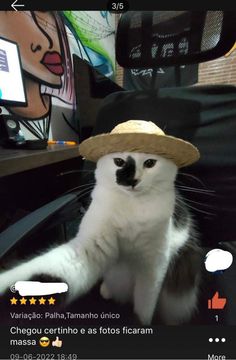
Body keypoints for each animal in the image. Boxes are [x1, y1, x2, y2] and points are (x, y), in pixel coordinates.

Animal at [0, 150, 201, 324]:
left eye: (150, 163)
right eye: (119, 161)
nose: (131, 180)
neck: (131, 206)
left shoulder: (154, 265)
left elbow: (145, 303)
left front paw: (141, 322)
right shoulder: (92, 245)